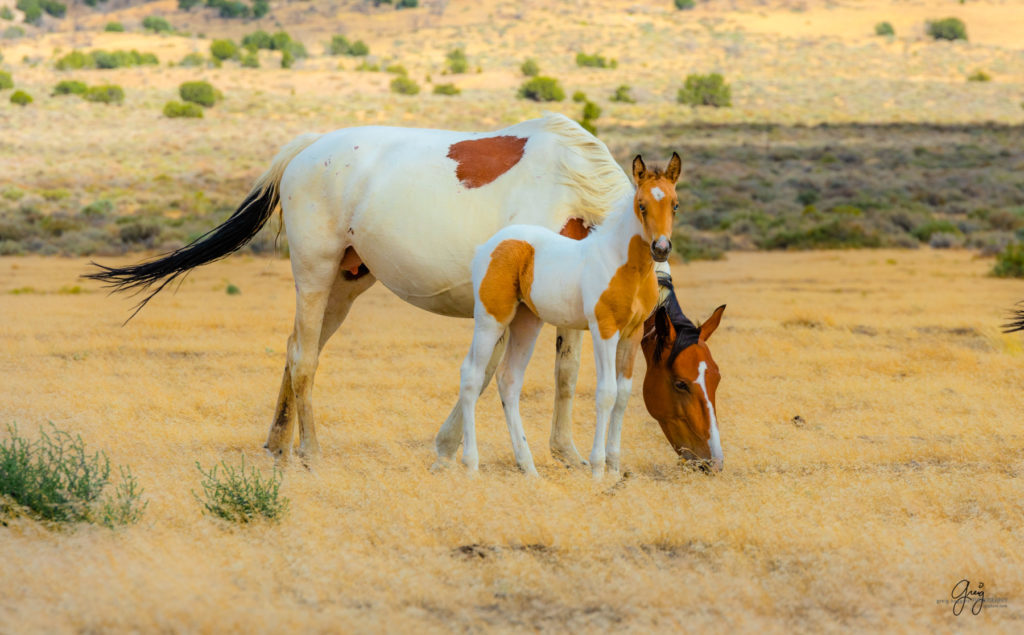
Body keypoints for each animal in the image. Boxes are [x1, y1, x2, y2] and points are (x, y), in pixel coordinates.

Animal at [90, 115, 638, 467]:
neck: (573, 187)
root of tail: (310, 147)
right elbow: (485, 376)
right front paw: (448, 450)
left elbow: (565, 372)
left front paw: (565, 453)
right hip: (315, 272)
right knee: (306, 356)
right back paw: (310, 452)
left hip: (345, 285)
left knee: (296, 348)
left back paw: (277, 444)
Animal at [454, 153, 679, 479]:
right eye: (641, 204)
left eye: (675, 204)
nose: (661, 248)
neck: (623, 265)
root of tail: (488, 246)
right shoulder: (604, 330)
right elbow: (607, 393)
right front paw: (597, 469)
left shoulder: (632, 333)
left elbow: (623, 394)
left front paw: (614, 468)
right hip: (490, 320)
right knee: (471, 375)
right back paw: (471, 465)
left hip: (526, 323)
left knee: (509, 380)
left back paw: (529, 468)